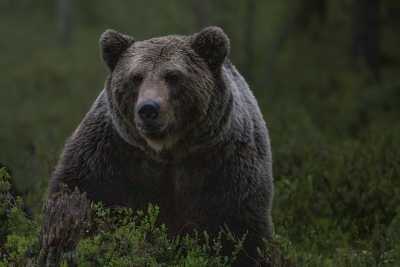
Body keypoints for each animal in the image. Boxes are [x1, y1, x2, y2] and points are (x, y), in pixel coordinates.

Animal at [45, 26, 274, 266]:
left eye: (173, 76)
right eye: (136, 77)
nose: (148, 109)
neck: (166, 150)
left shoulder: (223, 163)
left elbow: (240, 229)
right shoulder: (110, 152)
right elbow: (80, 195)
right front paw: (63, 245)